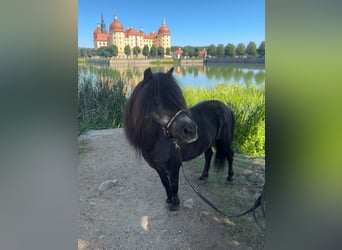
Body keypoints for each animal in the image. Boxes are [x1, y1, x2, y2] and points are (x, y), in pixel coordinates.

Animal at [123, 67, 235, 210]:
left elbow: (174, 185)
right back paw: (204, 176)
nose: (192, 130)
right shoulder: (158, 168)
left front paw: (175, 204)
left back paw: (230, 177)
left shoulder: (174, 166)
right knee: (209, 154)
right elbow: (166, 184)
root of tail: (225, 107)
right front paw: (169, 199)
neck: (156, 143)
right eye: (157, 101)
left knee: (230, 155)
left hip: (224, 141)